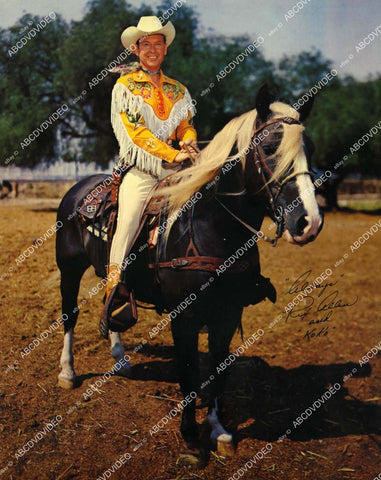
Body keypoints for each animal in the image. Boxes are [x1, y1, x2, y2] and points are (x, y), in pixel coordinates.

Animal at [55, 85, 320, 458]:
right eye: (270, 148)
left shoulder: (227, 314)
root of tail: (78, 190)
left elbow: (218, 371)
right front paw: (191, 439)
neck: (211, 226)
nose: (309, 222)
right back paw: (67, 372)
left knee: (111, 295)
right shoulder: (184, 318)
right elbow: (188, 373)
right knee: (69, 315)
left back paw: (120, 357)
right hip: (69, 270)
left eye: (310, 149)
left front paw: (220, 430)